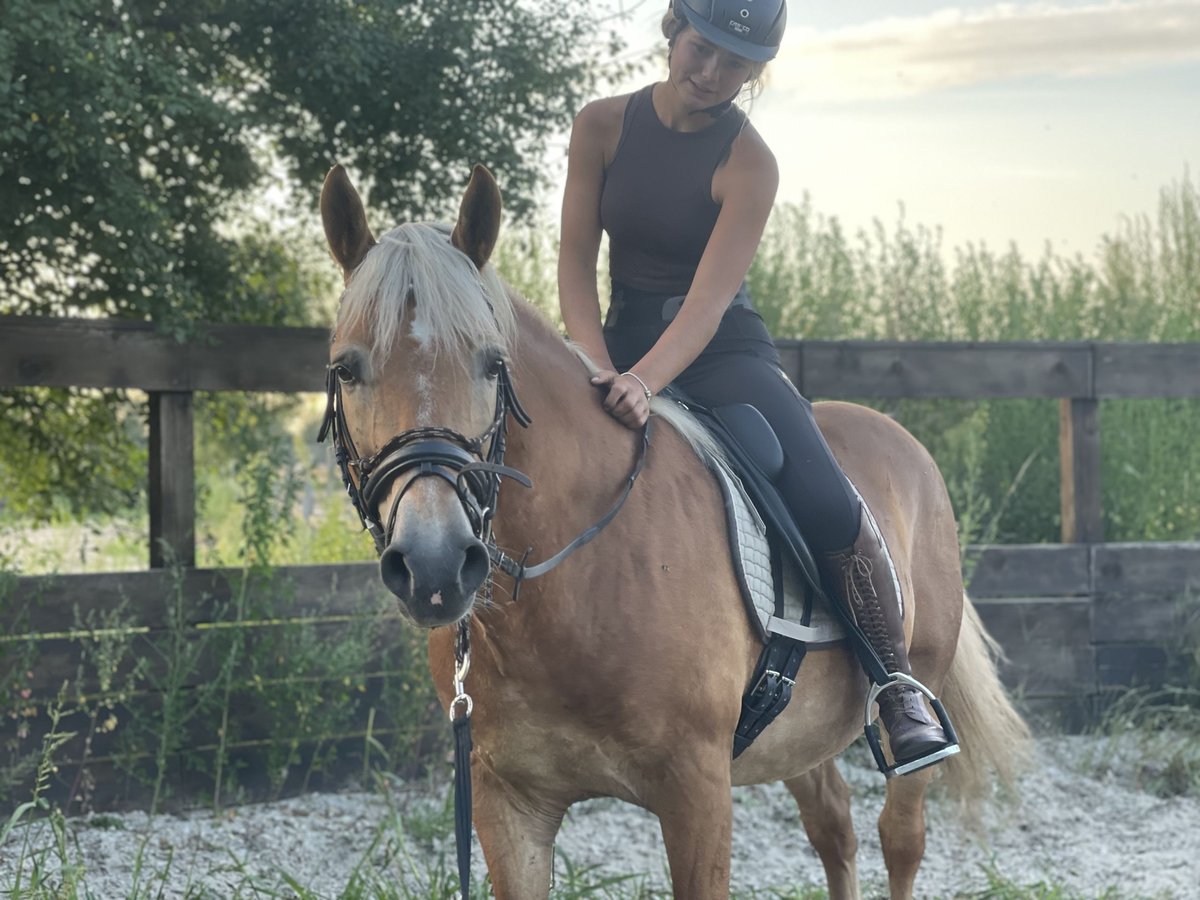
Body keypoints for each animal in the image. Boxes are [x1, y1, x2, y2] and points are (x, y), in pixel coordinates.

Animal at [319, 164, 1032, 900]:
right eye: (346, 368)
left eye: (493, 363)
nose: (434, 565)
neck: (577, 579)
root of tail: (905, 442)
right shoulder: (506, 802)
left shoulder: (696, 793)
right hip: (793, 734)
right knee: (835, 826)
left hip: (917, 683)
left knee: (900, 838)